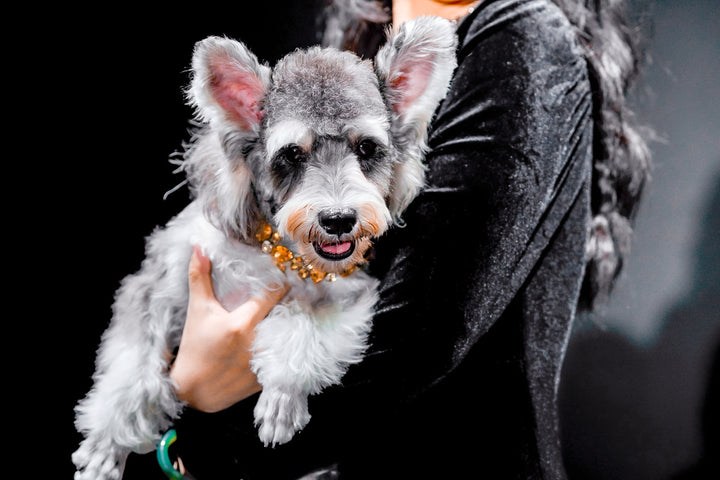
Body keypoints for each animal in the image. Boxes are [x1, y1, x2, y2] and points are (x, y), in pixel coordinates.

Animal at [73, 15, 456, 480]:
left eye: (367, 147)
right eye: (291, 154)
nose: (338, 219)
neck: (281, 254)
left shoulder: (348, 295)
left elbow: (304, 320)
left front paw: (281, 400)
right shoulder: (154, 285)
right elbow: (131, 368)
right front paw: (105, 445)